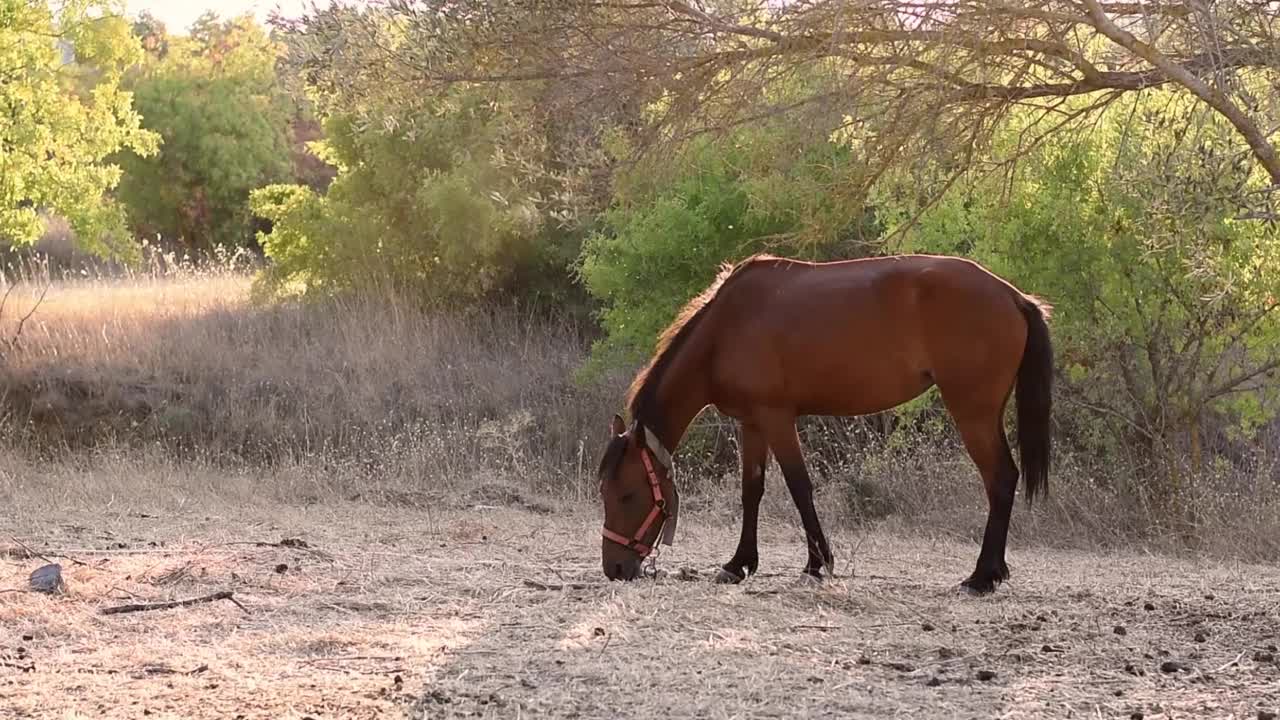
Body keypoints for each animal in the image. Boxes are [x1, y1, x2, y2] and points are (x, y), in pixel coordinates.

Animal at [596, 252, 1049, 594]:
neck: (727, 328)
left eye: (627, 495)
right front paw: (739, 563)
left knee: (1000, 479)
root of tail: (1013, 296)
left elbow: (799, 487)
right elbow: (751, 491)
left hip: (973, 413)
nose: (614, 569)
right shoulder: (752, 424)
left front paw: (817, 564)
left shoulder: (777, 419)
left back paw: (982, 577)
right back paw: (992, 572)